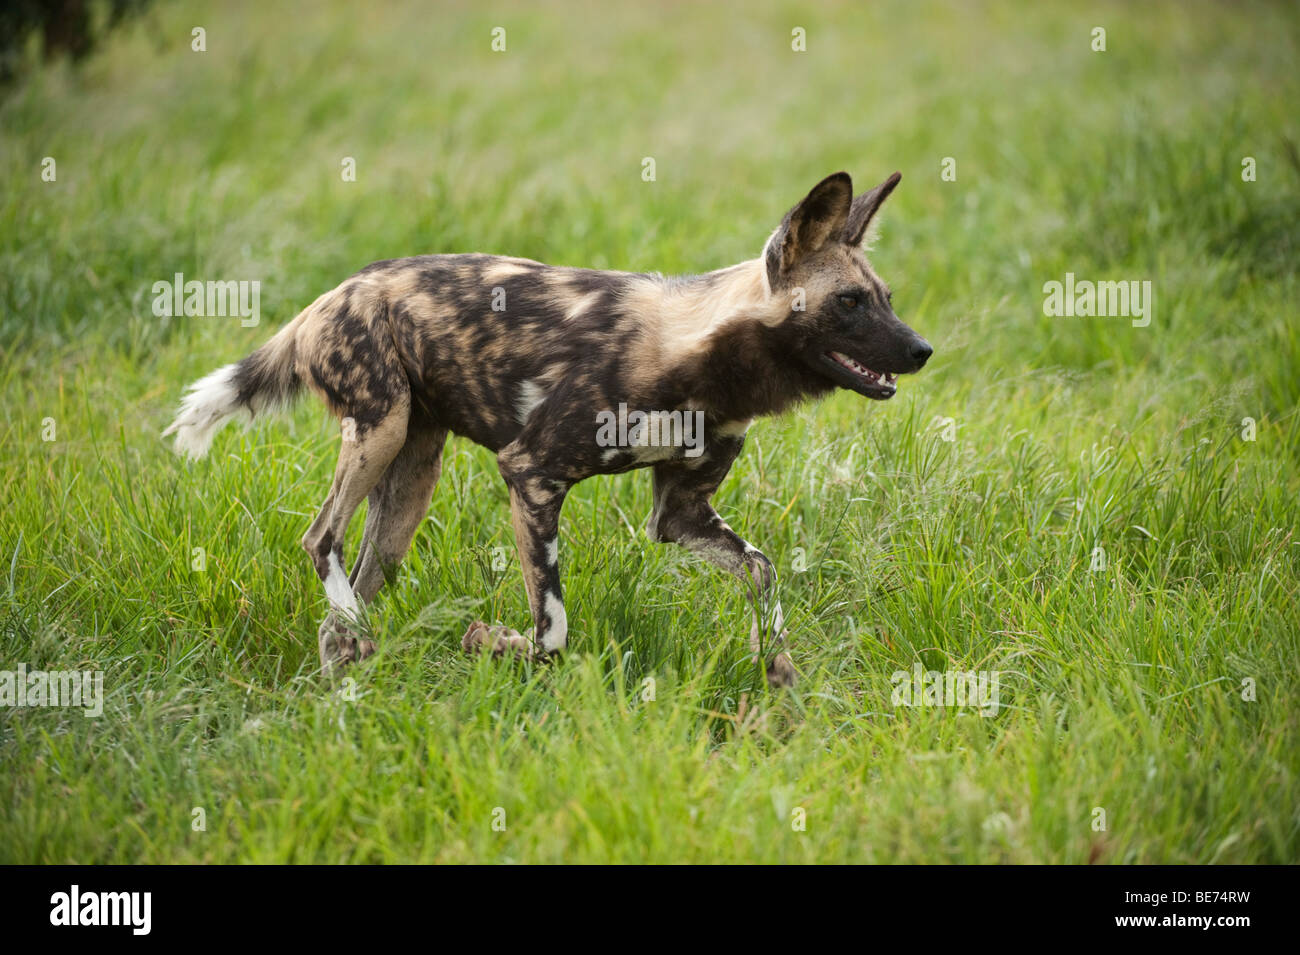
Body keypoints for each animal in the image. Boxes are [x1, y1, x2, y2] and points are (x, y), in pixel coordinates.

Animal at [165, 171, 935, 686]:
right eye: (850, 303)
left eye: (888, 299)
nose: (923, 350)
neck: (703, 355)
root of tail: (329, 295)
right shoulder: (531, 474)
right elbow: (554, 631)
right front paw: (491, 642)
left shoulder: (681, 516)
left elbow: (763, 568)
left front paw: (776, 669)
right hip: (379, 431)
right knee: (319, 539)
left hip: (409, 484)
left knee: (347, 595)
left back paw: (347, 678)